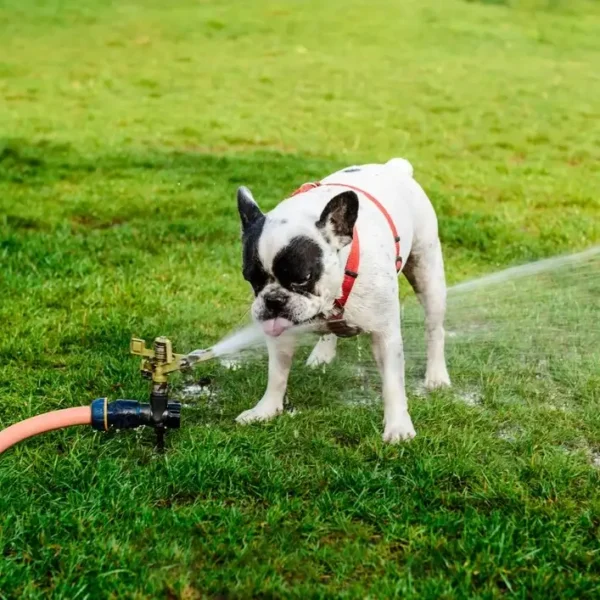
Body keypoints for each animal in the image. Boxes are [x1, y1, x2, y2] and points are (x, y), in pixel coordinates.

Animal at [234, 158, 450, 440]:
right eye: (250, 277)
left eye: (303, 278)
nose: (273, 300)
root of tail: (394, 167)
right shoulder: (281, 334)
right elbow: (277, 374)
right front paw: (266, 410)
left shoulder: (385, 335)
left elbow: (393, 383)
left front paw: (398, 427)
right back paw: (323, 353)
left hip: (428, 274)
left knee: (434, 329)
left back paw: (436, 376)